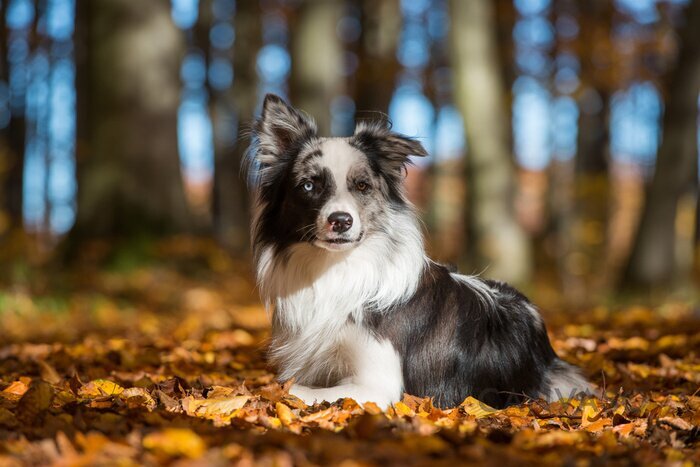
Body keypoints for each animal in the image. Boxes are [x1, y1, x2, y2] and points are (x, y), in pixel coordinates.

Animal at [246, 93, 592, 408]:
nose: (341, 221)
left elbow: (289, 388)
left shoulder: (376, 386)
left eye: (362, 186)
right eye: (308, 185)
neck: (338, 267)